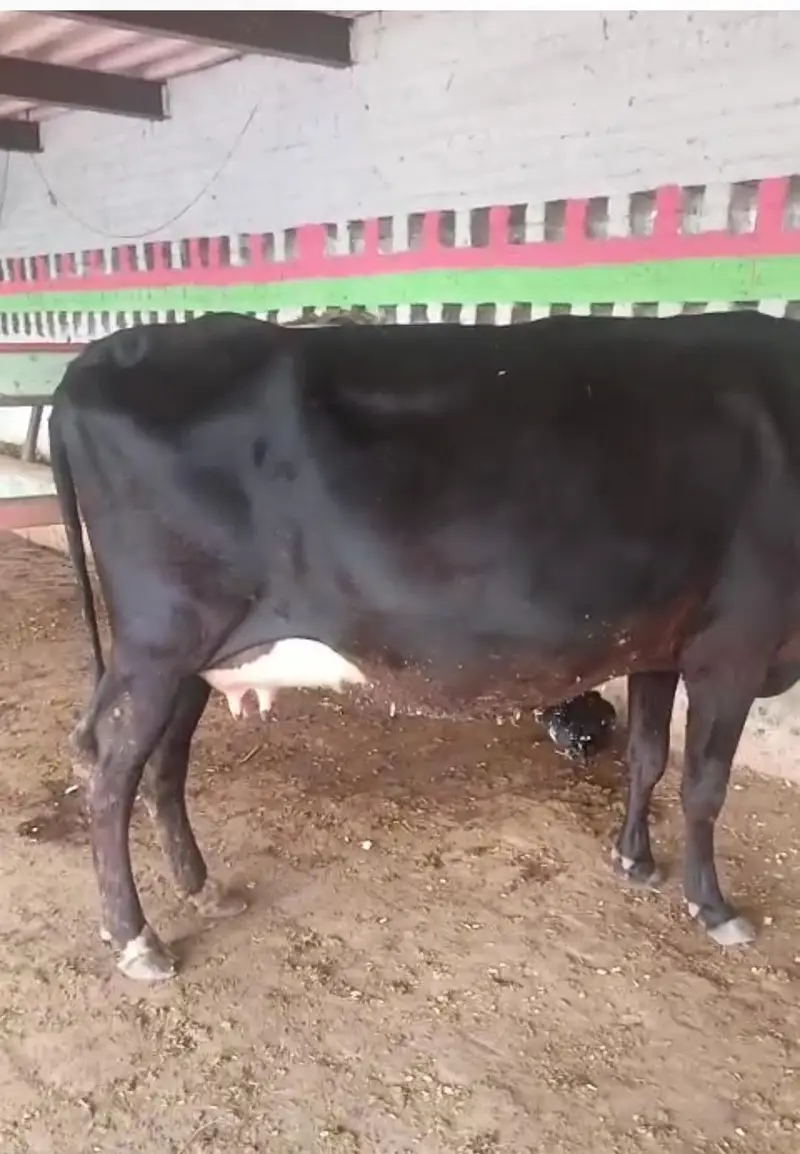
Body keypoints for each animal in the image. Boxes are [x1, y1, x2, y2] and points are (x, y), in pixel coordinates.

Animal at [48, 307, 800, 982]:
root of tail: (92, 363)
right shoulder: (736, 644)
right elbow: (704, 785)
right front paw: (714, 907)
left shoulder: (661, 643)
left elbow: (647, 757)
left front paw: (634, 860)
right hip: (159, 643)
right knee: (109, 765)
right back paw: (138, 940)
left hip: (194, 657)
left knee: (163, 763)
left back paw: (203, 889)